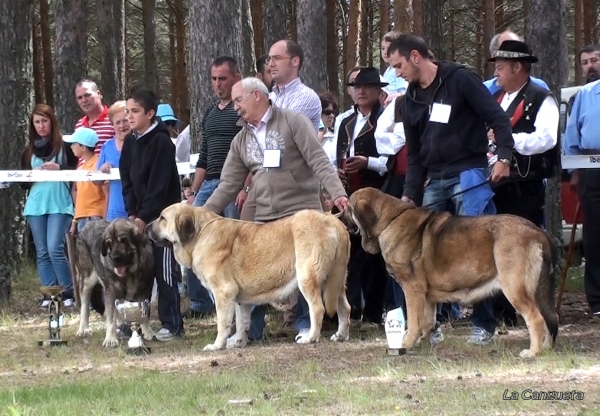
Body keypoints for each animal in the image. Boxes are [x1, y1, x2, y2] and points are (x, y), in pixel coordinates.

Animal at [146, 203, 352, 350]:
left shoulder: (223, 292)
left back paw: (310, 337)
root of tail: (332, 220)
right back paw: (340, 335)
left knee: (317, 308)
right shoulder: (239, 299)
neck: (200, 234)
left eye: (162, 218)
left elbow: (223, 323)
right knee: (345, 307)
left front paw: (217, 345)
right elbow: (241, 321)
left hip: (308, 278)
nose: (146, 226)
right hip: (335, 282)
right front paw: (238, 342)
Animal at [344, 188, 560, 358]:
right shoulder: (427, 296)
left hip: (515, 289)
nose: (339, 215)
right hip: (537, 291)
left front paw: (406, 344)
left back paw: (533, 352)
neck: (390, 220)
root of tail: (538, 231)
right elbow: (428, 321)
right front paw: (423, 341)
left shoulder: (412, 290)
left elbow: (414, 322)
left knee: (536, 319)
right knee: (550, 318)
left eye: (348, 207)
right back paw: (546, 348)